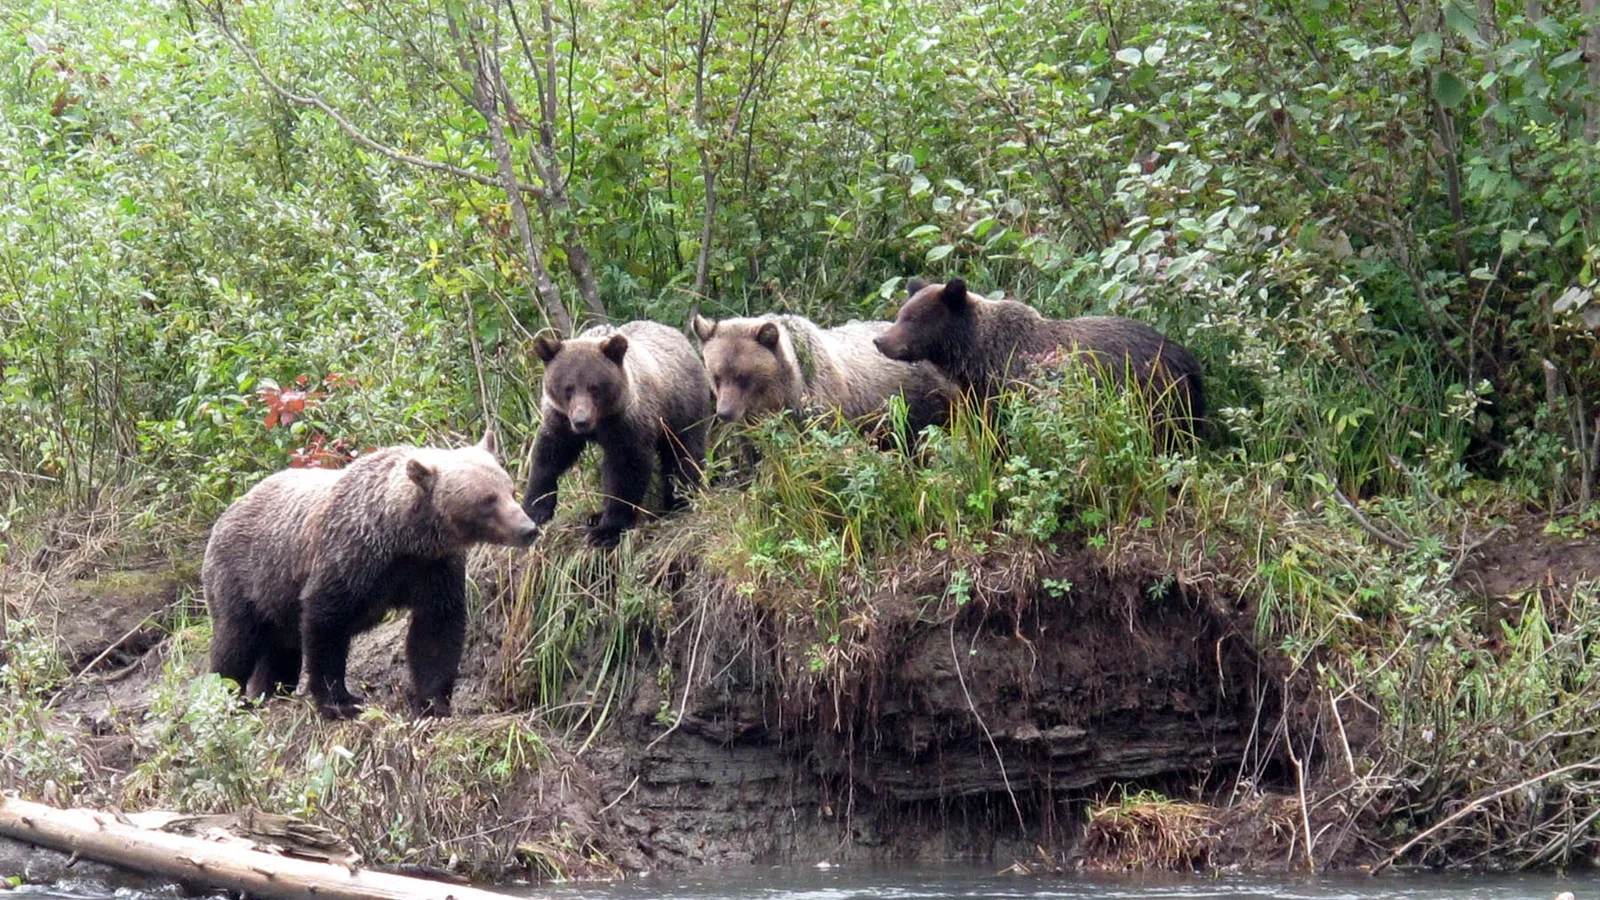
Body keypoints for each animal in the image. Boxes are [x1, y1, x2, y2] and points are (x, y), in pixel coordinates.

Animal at [202, 432, 537, 720]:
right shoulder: (349, 558)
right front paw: (340, 702)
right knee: (235, 642)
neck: (402, 535)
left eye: (510, 489)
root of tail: (226, 513)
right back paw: (232, 698)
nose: (528, 528)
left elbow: (436, 630)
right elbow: (326, 624)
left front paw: (433, 703)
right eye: (487, 500)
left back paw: (270, 691)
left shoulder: (433, 569)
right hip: (244, 576)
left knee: (280, 649)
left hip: (275, 596)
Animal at [523, 320, 713, 547]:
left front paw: (607, 530)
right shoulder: (560, 421)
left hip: (682, 408)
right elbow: (548, 458)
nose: (581, 421)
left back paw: (680, 502)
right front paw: (535, 510)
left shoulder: (627, 423)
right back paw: (596, 515)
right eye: (568, 388)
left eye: (594, 387)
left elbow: (625, 469)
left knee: (684, 454)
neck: (600, 423)